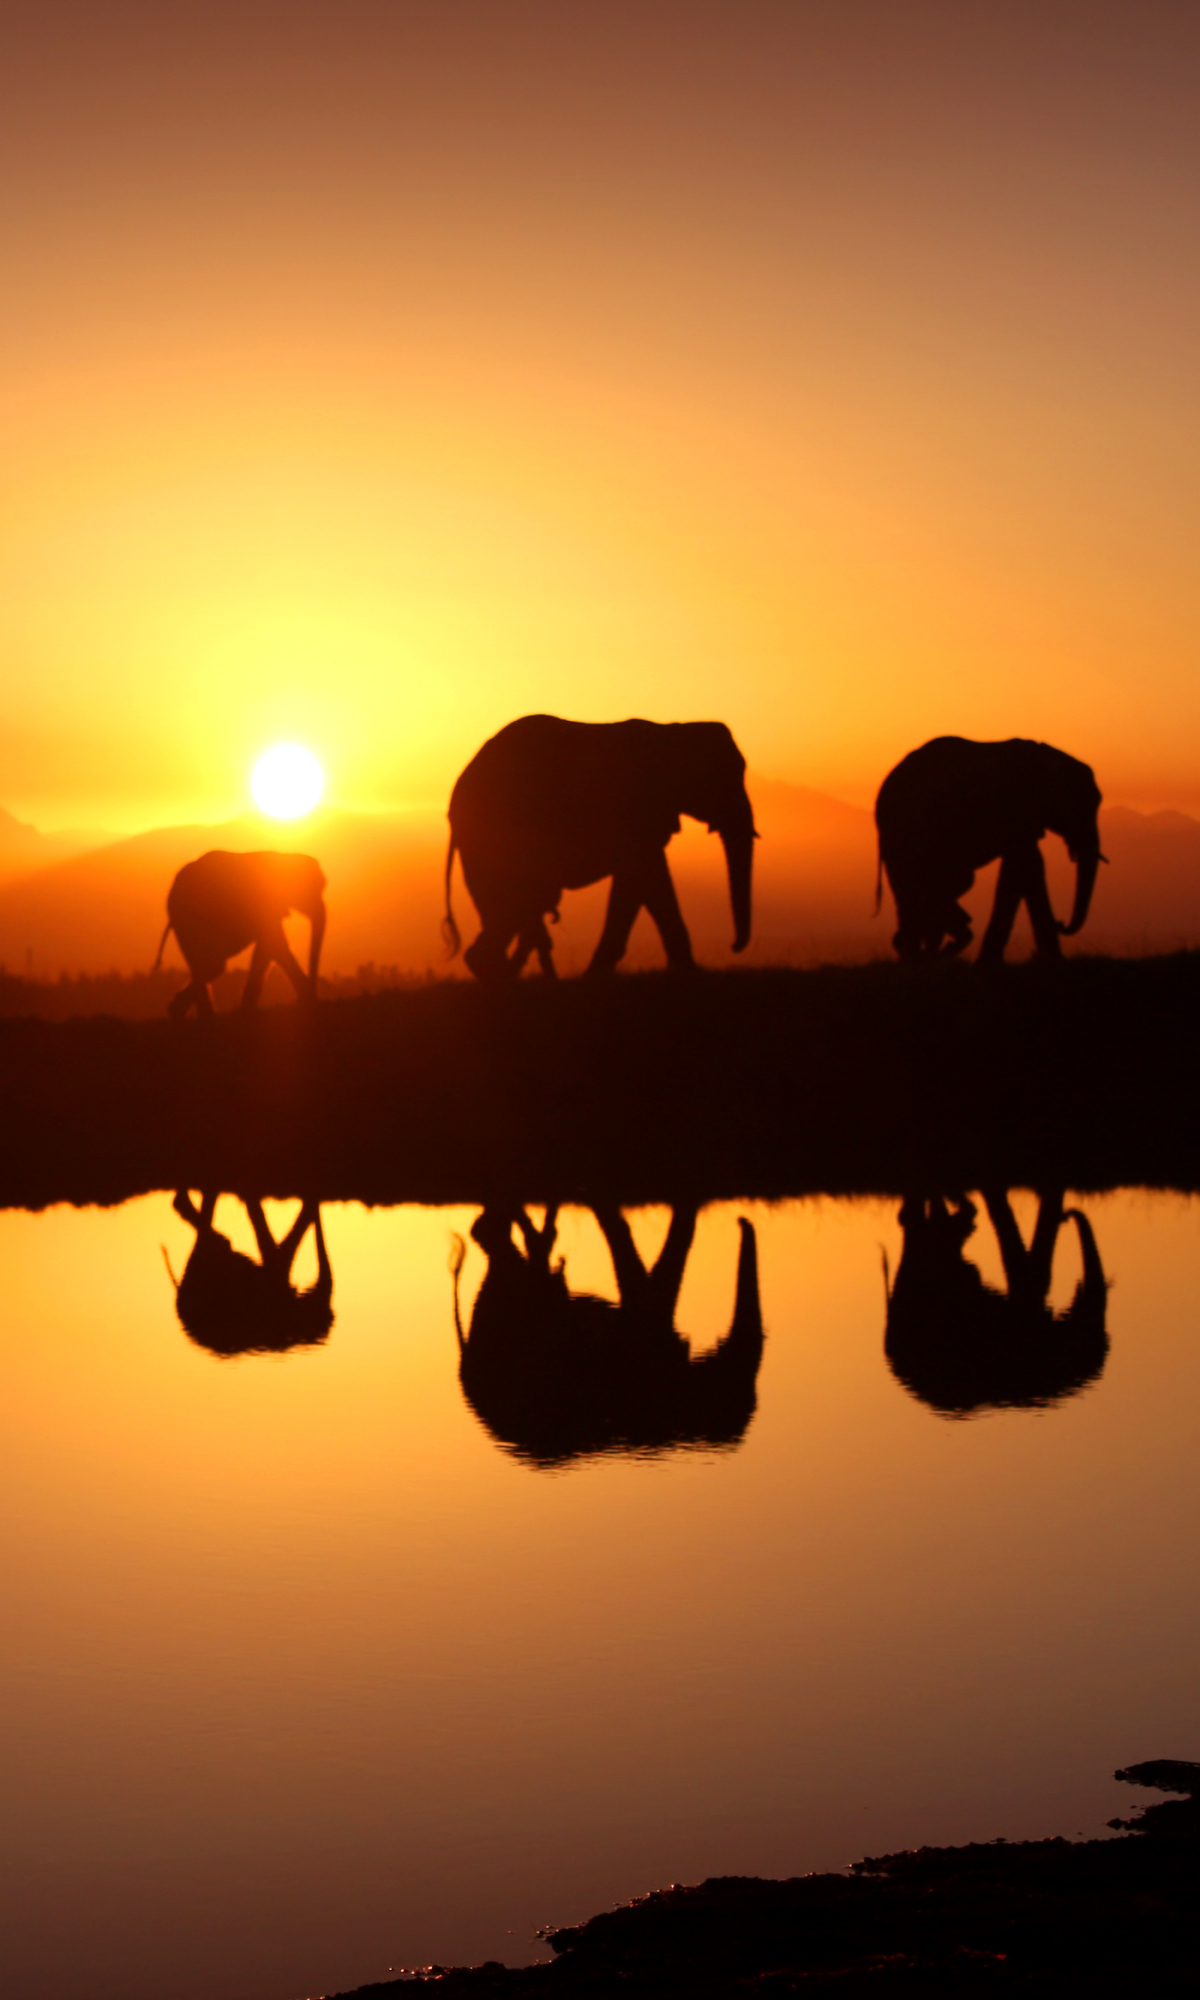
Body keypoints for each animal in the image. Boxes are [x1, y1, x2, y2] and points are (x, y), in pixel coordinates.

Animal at [153, 849, 327, 1018]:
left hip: (183, 922)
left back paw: (190, 1014)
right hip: (189, 920)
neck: (284, 857)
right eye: (313, 889)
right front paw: (310, 1000)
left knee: (206, 966)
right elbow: (275, 944)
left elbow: (267, 947)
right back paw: (188, 1013)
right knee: (214, 965)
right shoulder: (264, 902)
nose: (311, 995)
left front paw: (246, 1009)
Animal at [443, 714, 757, 981]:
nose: (734, 947)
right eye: (722, 778)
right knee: (513, 904)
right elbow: (642, 879)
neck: (672, 730)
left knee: (510, 908)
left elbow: (647, 883)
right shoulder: (633, 810)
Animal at [874, 737, 1103, 963]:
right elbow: (1021, 867)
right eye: (1079, 804)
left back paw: (922, 953)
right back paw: (920, 956)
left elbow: (1030, 867)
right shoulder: (1016, 810)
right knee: (919, 889)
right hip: (904, 833)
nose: (1061, 922)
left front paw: (1054, 959)